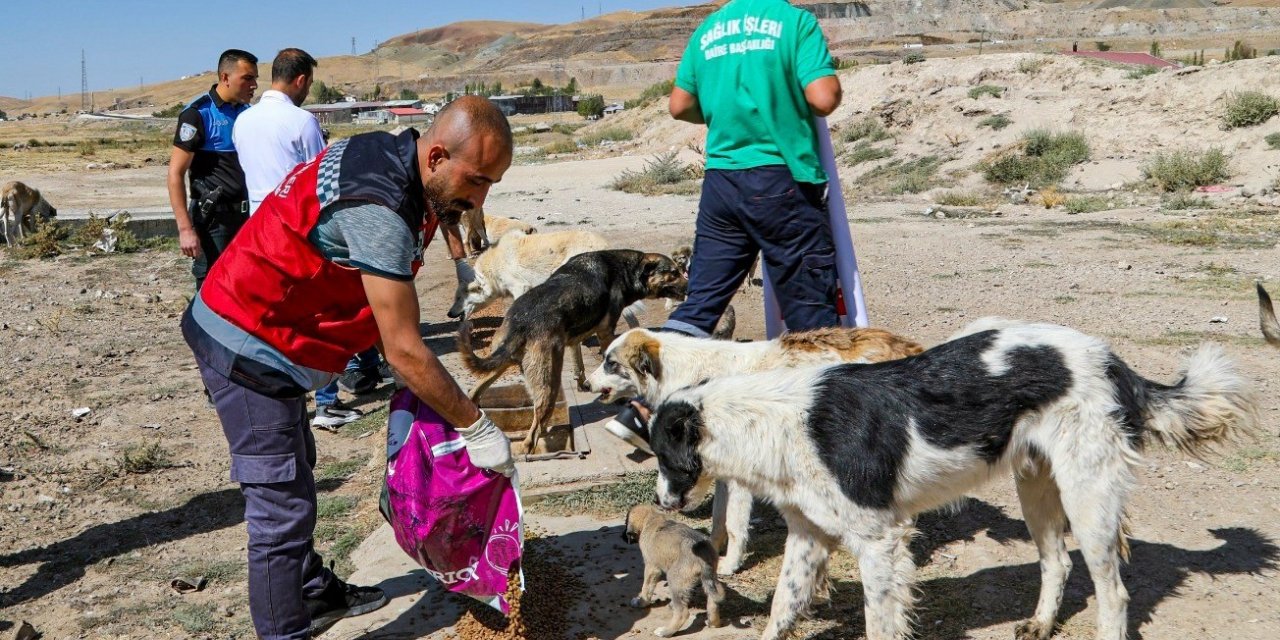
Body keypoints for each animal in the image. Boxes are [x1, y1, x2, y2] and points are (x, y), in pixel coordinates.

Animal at [455, 247, 686, 453]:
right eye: (673, 272)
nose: (689, 285)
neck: (624, 268)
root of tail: (522, 322)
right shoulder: (605, 332)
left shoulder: (575, 337)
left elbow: (579, 362)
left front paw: (583, 383)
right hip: (549, 381)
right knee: (532, 435)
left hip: (502, 363)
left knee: (475, 393)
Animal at [586, 327, 926, 573]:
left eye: (610, 363)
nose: (586, 384)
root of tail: (906, 347)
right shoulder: (721, 471)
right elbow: (718, 518)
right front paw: (711, 549)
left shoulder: (739, 477)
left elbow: (735, 523)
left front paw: (729, 565)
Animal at [624, 504, 727, 634]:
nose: (623, 536)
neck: (652, 517)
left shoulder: (651, 567)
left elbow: (646, 588)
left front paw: (641, 602)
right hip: (711, 578)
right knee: (713, 601)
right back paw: (713, 623)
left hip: (675, 579)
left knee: (682, 612)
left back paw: (666, 631)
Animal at [650, 317, 1259, 640]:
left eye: (661, 456)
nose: (660, 502)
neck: (775, 419)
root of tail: (1113, 361)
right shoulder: (808, 537)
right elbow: (780, 610)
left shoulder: (879, 543)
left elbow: (879, 622)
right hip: (1037, 489)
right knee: (1057, 563)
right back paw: (1040, 622)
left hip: (1089, 500)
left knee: (1114, 593)